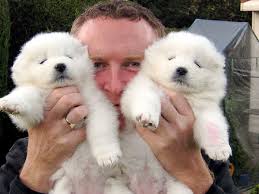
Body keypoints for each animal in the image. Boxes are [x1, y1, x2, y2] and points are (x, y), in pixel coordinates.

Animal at [0, 32, 122, 193]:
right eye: (43, 61)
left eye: (68, 56)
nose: (60, 65)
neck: (62, 89)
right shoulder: (37, 107)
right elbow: (28, 95)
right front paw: (11, 102)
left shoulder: (97, 104)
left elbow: (101, 129)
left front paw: (108, 156)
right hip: (64, 183)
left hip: (111, 183)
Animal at [121, 31, 233, 192]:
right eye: (171, 58)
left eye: (197, 64)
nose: (181, 69)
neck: (180, 93)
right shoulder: (141, 87)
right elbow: (148, 97)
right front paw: (148, 117)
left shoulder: (206, 109)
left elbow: (213, 126)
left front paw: (220, 150)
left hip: (178, 184)